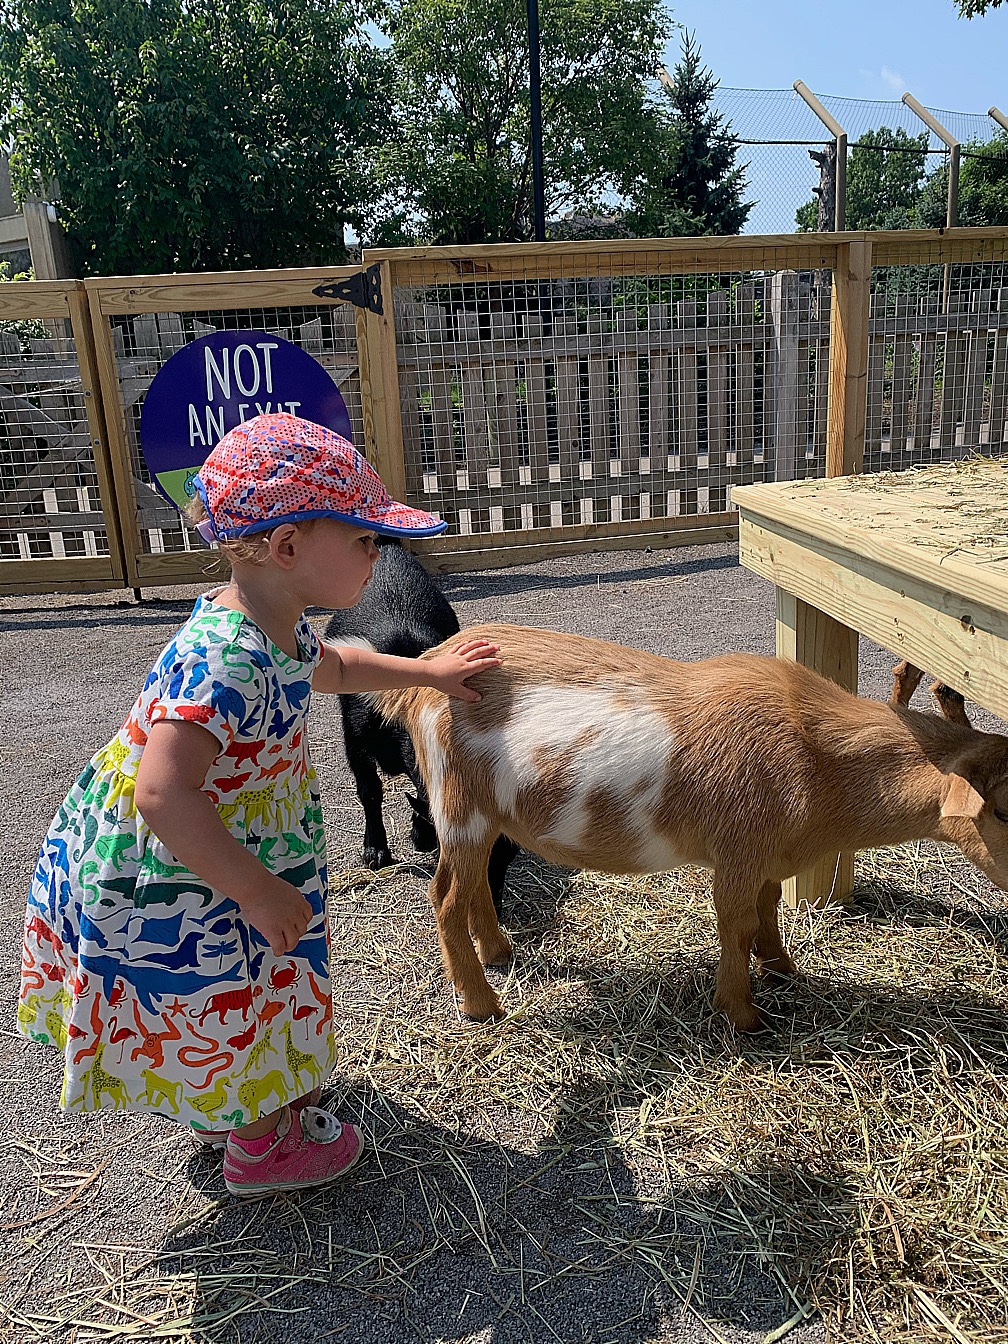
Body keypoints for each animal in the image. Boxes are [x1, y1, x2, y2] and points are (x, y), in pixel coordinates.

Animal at [326, 542, 516, 911]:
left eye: (510, 854)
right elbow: (370, 791)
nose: (497, 913)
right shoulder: (354, 741)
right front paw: (376, 850)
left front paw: (421, 833)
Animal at [378, 623, 1008, 1032]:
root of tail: (420, 680)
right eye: (1001, 809)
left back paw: (499, 953)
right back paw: (481, 1004)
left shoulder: (766, 856)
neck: (816, 755)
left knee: (470, 886)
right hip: (459, 805)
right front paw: (743, 1015)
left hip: (484, 817)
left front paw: (782, 968)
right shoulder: (737, 854)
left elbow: (767, 910)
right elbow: (735, 923)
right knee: (445, 896)